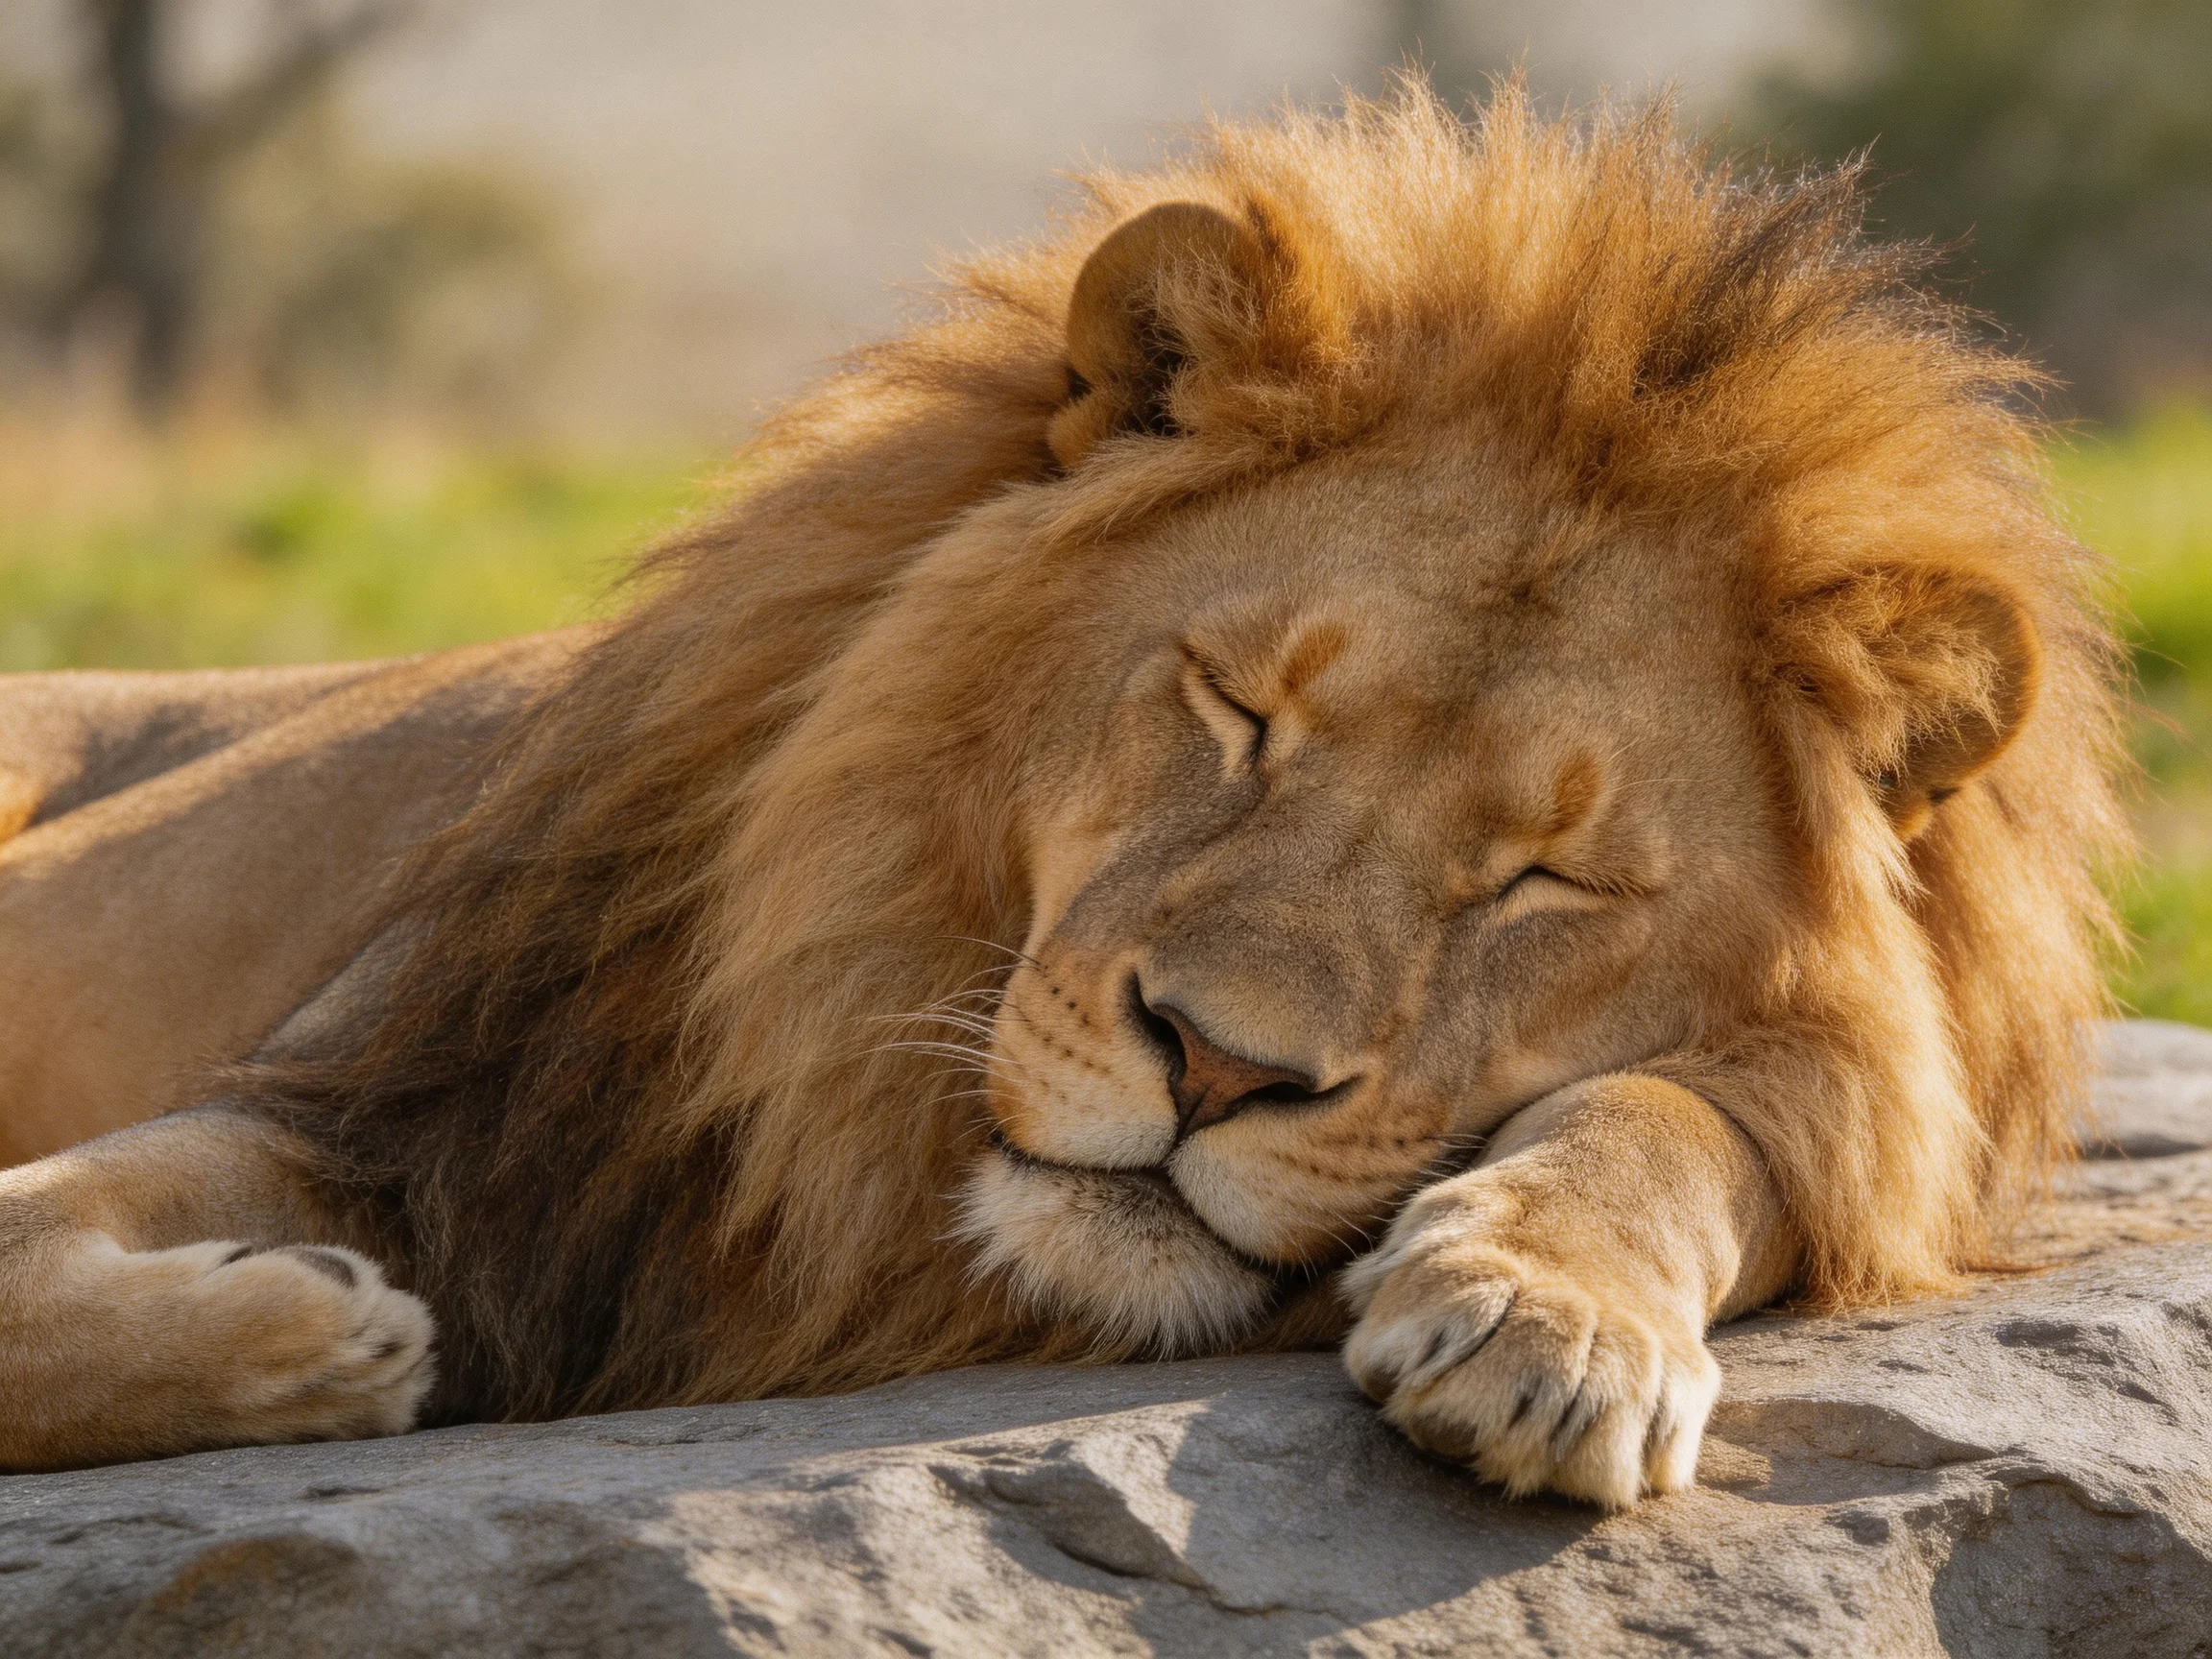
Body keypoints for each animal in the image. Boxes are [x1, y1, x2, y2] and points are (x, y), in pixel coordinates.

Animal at [0, 84, 2126, 1508]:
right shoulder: (418, 1094)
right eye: (1236, 707)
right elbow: (34, 1238)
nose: (1217, 1066)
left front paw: (1548, 1311)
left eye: (1542, 877)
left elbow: (1699, 1115)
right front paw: (315, 1336)